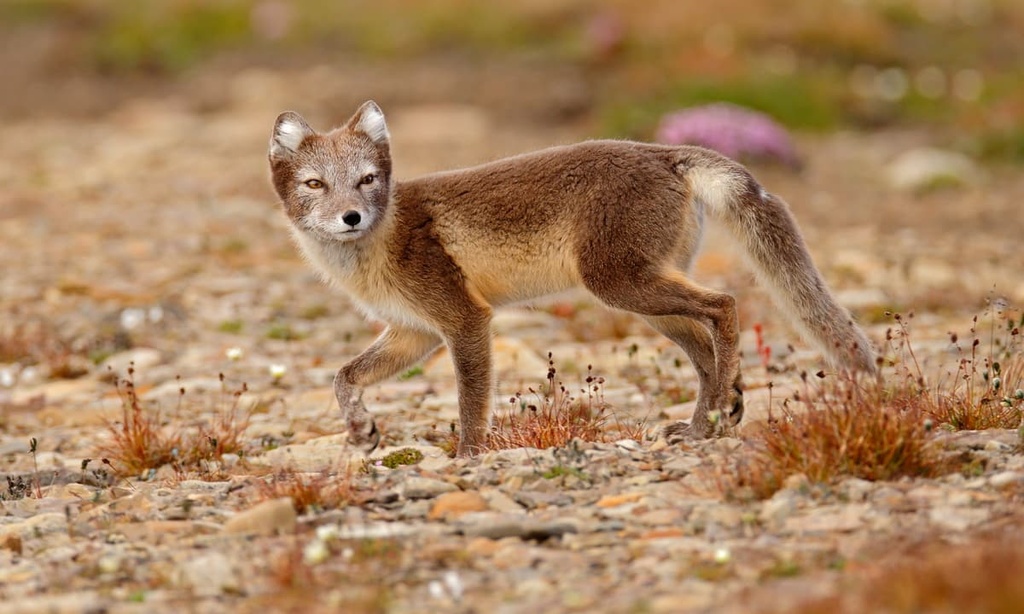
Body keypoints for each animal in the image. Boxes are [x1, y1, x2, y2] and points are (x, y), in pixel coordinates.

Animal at [268, 100, 878, 457]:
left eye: (368, 180)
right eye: (316, 184)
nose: (352, 217)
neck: (376, 248)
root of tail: (665, 152)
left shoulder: (465, 321)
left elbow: (469, 407)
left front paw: (467, 459)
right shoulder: (413, 333)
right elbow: (343, 377)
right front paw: (360, 430)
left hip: (623, 286)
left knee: (725, 306)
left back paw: (717, 416)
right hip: (644, 300)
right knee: (704, 351)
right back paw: (708, 422)